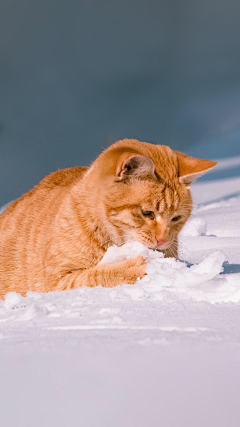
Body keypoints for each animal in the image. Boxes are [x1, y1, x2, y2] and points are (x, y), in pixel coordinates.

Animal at [0, 139, 218, 300]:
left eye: (176, 218)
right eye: (147, 213)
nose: (163, 240)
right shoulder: (56, 282)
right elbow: (95, 276)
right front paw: (135, 268)